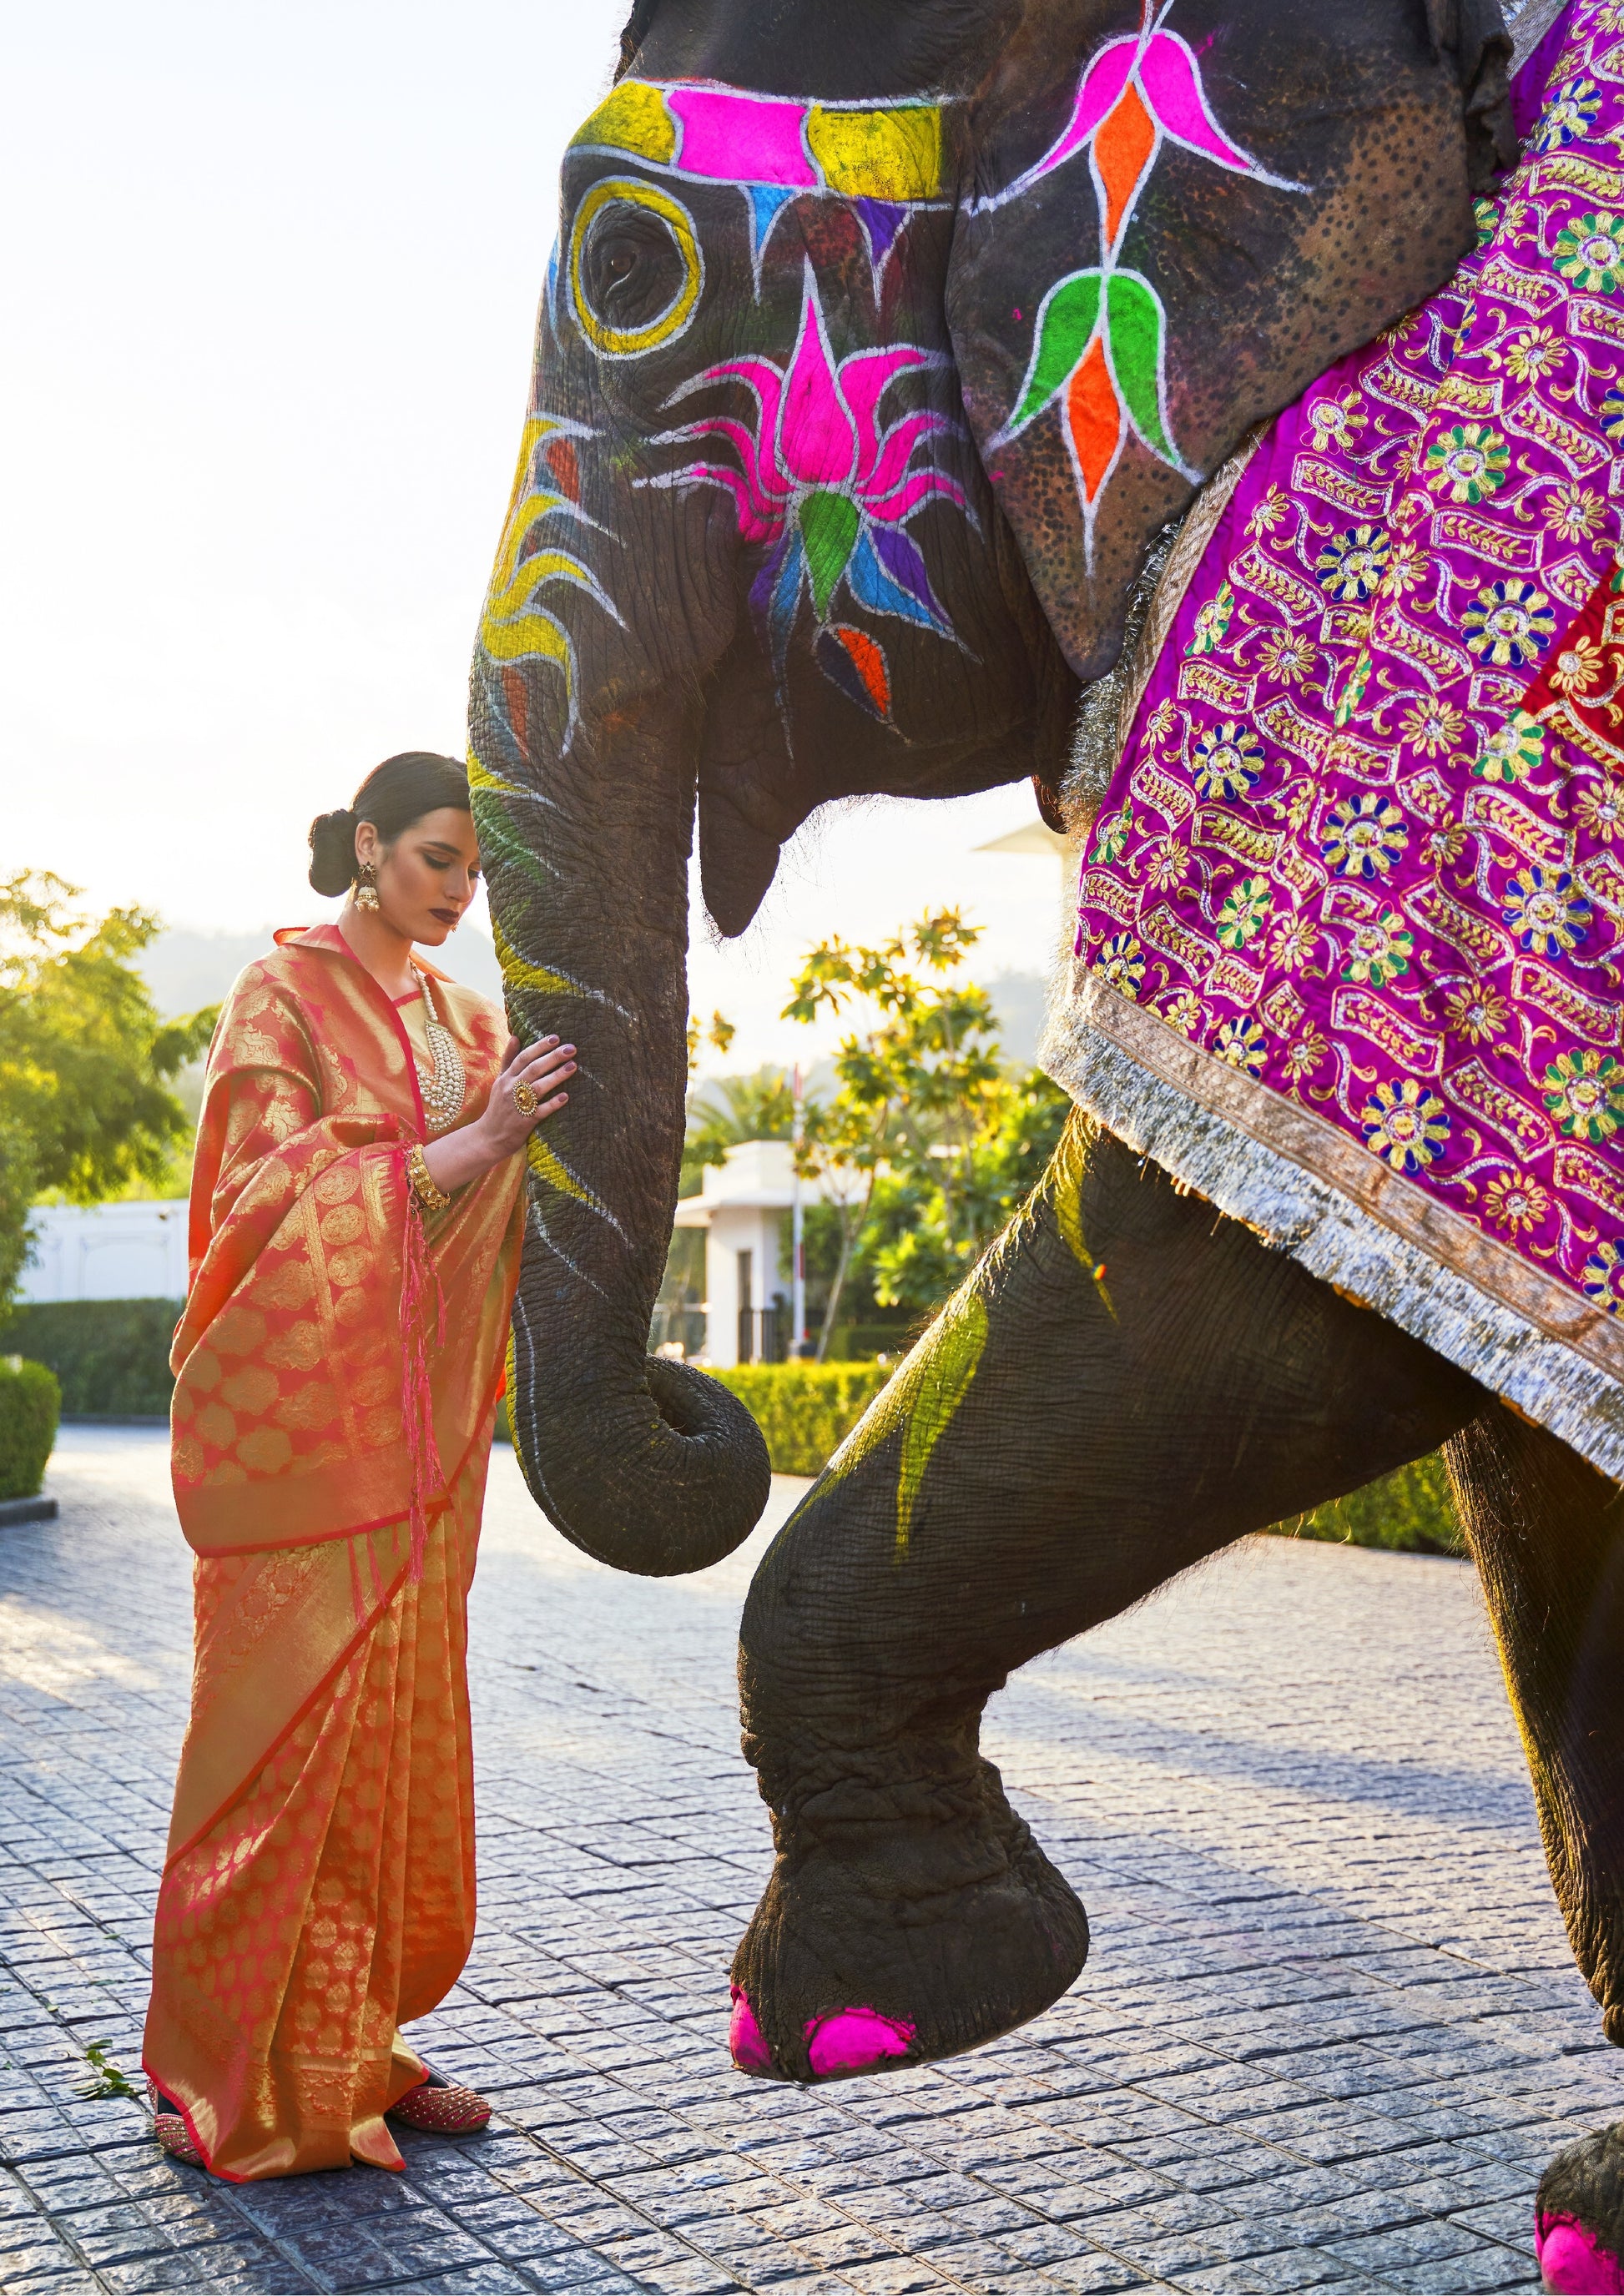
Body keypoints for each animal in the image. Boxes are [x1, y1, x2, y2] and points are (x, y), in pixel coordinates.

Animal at [466, 0, 1624, 2286]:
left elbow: (1239, 1286)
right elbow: (1519, 1457)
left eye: (626, 269)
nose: (705, 1409)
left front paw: (874, 2008)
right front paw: (1600, 2227)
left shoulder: (1424, 655)